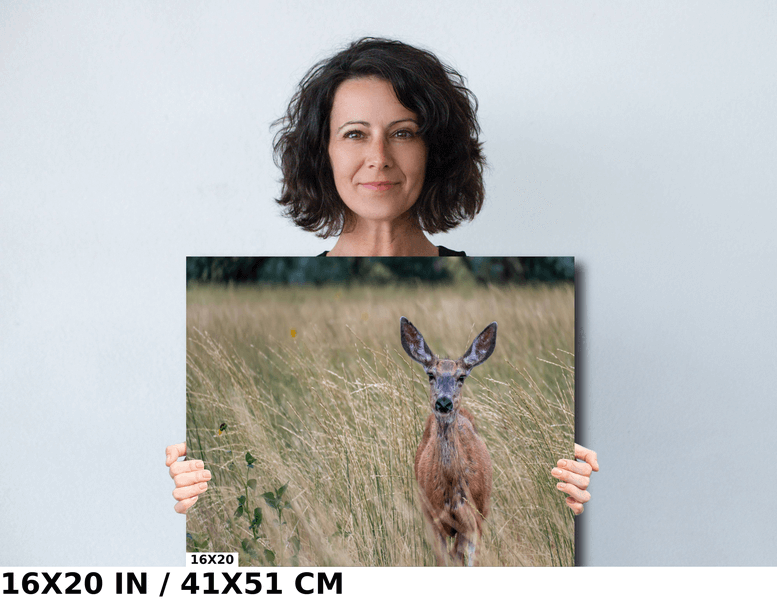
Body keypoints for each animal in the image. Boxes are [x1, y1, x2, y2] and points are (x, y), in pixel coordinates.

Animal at [399, 316, 496, 566]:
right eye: (430, 375)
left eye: (461, 377)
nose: (443, 402)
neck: (452, 493)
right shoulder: (433, 520)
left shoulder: (475, 520)